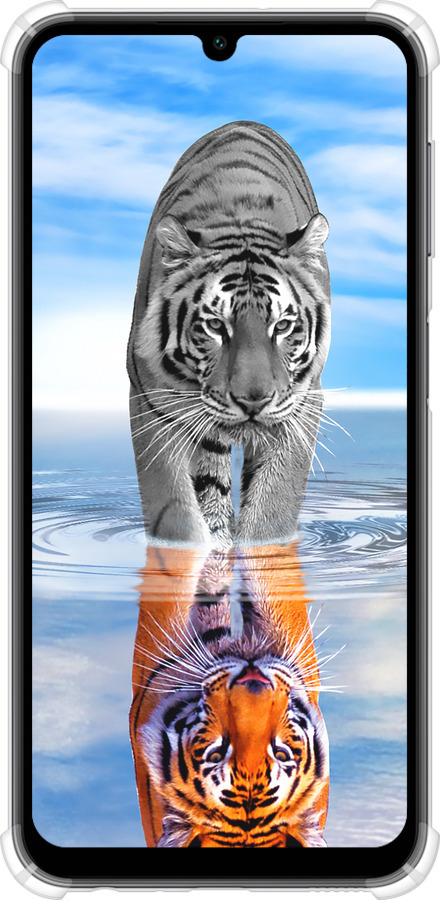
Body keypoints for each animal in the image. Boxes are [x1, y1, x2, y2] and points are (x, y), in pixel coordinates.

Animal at [127, 120, 331, 548]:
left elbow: (273, 509)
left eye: (282, 326)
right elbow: (175, 512)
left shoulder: (302, 404)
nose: (253, 401)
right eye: (216, 326)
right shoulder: (151, 401)